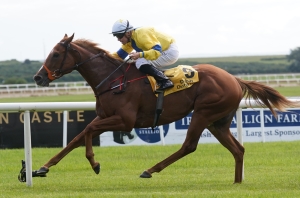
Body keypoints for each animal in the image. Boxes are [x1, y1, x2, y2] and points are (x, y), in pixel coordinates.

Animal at [32, 33, 298, 183]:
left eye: (56, 54)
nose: (38, 77)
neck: (113, 80)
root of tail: (234, 79)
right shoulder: (105, 117)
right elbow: (76, 138)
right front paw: (41, 169)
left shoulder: (125, 120)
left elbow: (86, 132)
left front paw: (94, 163)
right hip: (218, 122)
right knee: (238, 149)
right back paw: (236, 182)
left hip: (203, 113)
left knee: (189, 146)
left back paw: (150, 170)